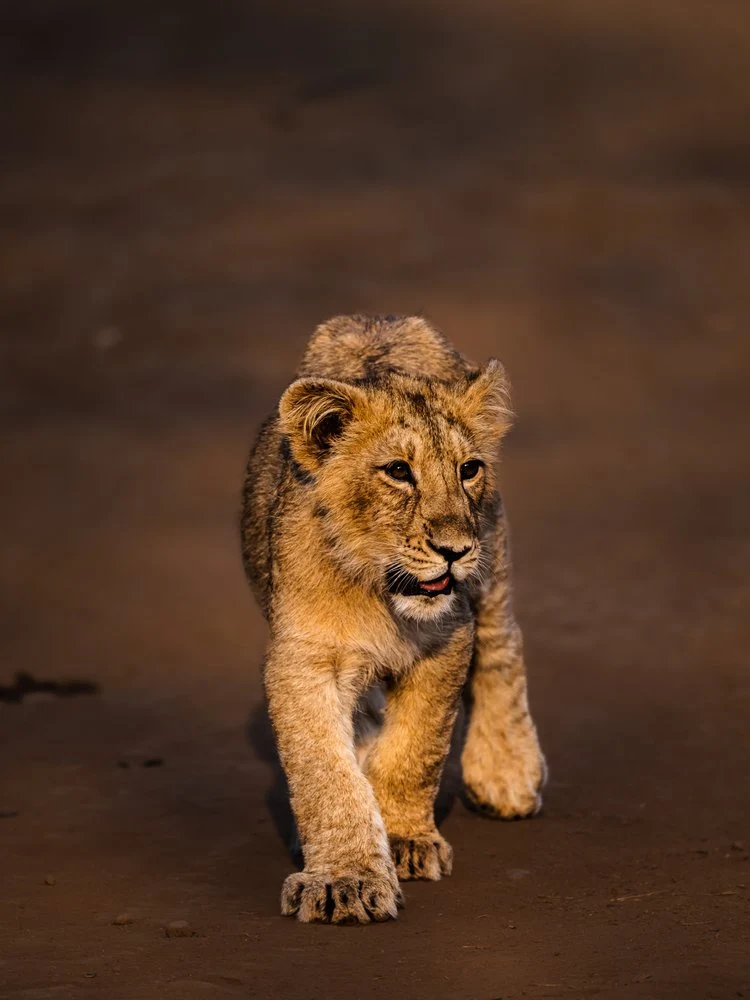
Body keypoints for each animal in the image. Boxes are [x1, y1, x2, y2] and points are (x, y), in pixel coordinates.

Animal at [241, 315, 546, 924]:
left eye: (468, 469)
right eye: (399, 472)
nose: (454, 550)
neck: (380, 596)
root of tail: (382, 322)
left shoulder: (448, 641)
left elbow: (414, 752)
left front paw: (405, 839)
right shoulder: (304, 660)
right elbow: (325, 773)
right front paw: (345, 877)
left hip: (493, 564)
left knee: (503, 643)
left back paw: (506, 771)